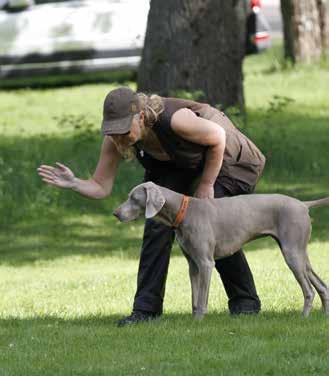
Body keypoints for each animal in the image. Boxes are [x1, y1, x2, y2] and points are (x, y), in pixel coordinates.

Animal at [113, 181, 328, 318]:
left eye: (133, 198)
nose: (115, 213)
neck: (184, 211)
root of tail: (303, 204)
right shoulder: (193, 265)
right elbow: (194, 298)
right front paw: (193, 322)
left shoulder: (206, 263)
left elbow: (202, 299)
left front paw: (200, 321)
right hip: (299, 253)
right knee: (321, 285)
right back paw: (324, 315)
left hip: (292, 252)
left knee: (309, 290)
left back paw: (304, 317)